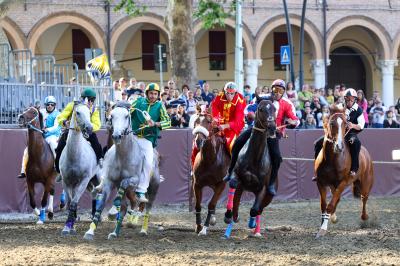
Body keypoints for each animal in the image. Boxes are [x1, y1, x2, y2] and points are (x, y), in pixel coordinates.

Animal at [59, 101, 100, 236]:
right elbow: (70, 203)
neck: (74, 156)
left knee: (98, 193)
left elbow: (73, 203)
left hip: (96, 179)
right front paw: (69, 227)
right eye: (77, 112)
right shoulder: (67, 181)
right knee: (93, 193)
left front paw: (68, 227)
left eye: (89, 112)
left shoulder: (83, 181)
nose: (89, 128)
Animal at [82, 103, 159, 240]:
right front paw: (90, 232)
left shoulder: (134, 180)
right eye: (111, 116)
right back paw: (115, 232)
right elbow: (101, 205)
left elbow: (124, 182)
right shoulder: (109, 181)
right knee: (124, 208)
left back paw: (143, 230)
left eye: (127, 116)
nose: (117, 135)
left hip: (153, 187)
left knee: (147, 207)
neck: (123, 157)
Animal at [223, 99, 276, 237]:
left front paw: (252, 223)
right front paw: (228, 215)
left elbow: (254, 209)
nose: (272, 127)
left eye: (274, 109)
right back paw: (230, 223)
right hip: (241, 188)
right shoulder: (238, 177)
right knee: (236, 204)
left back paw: (256, 229)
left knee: (259, 209)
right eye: (261, 109)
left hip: (268, 196)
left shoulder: (263, 187)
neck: (255, 157)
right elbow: (233, 183)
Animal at [316, 104, 376, 239]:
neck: (331, 160)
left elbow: (330, 205)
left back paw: (365, 217)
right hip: (333, 185)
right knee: (337, 199)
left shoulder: (343, 182)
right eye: (332, 123)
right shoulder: (321, 182)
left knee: (364, 199)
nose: (339, 146)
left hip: (365, 184)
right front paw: (325, 223)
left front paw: (323, 228)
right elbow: (324, 205)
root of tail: (366, 154)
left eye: (345, 123)